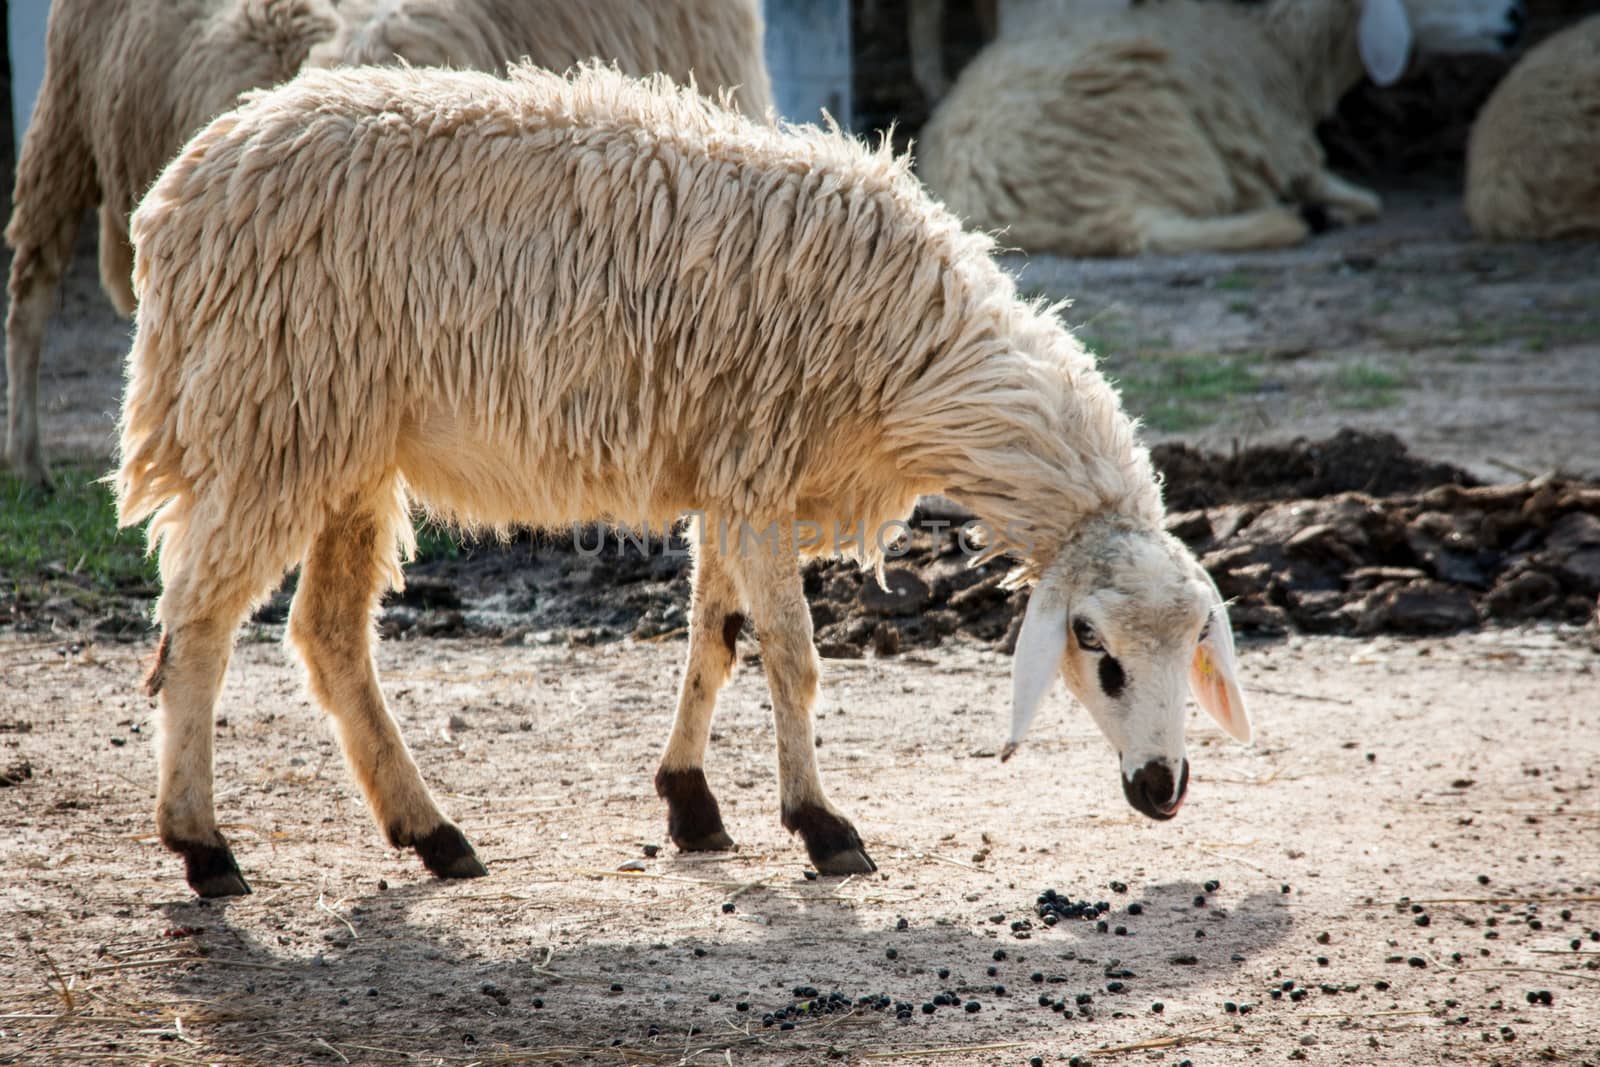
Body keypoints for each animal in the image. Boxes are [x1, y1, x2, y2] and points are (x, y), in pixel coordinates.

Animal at [118, 58, 1254, 895]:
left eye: (1197, 640)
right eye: (1094, 648)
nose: (1161, 789)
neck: (925, 357)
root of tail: (185, 185)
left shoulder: (735, 476)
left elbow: (717, 634)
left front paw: (691, 802)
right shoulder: (756, 472)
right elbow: (792, 655)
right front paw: (821, 825)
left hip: (346, 446)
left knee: (329, 638)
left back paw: (433, 833)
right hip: (271, 416)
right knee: (199, 627)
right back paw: (205, 848)